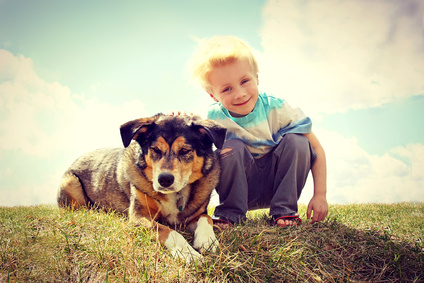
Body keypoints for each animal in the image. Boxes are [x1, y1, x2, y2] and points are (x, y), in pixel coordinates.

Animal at [58, 113, 229, 264]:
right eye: (155, 149)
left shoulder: (194, 215)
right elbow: (169, 231)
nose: (164, 179)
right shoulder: (138, 217)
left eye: (185, 151)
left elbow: (206, 218)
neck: (175, 194)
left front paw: (208, 240)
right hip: (70, 182)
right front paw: (188, 253)